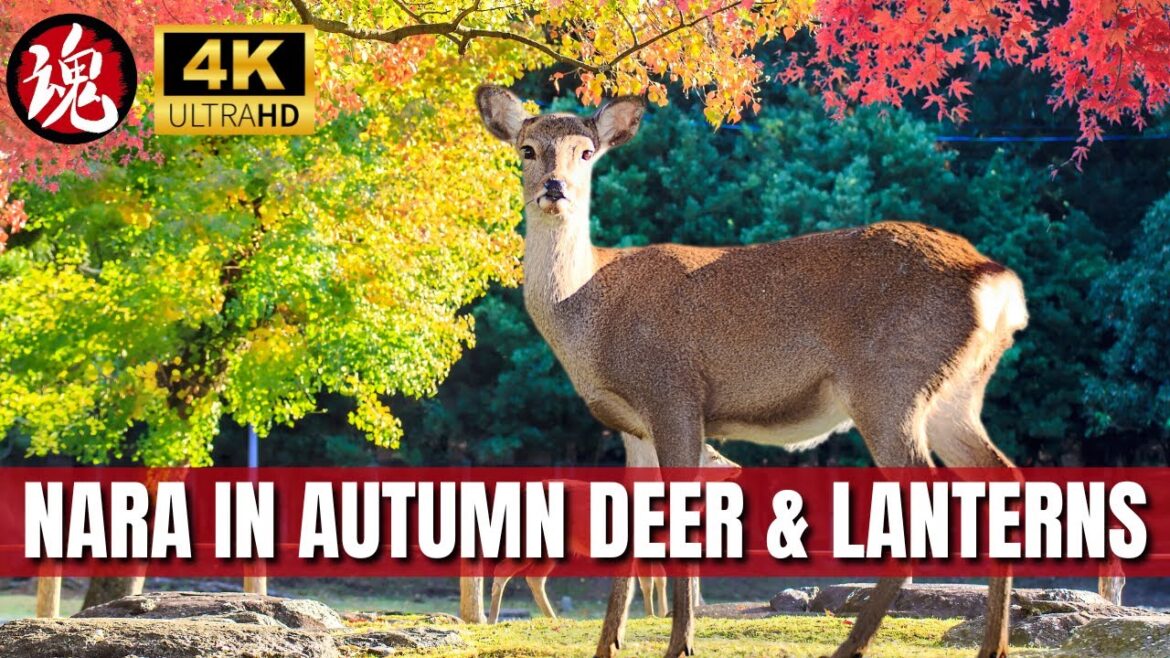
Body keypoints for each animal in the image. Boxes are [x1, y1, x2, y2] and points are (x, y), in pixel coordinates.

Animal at [488, 434, 740, 624]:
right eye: (714, 456)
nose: (737, 467)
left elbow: (659, 578)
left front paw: (659, 614)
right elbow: (647, 582)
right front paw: (651, 615)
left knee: (534, 577)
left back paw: (553, 619)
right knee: (503, 570)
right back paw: (492, 620)